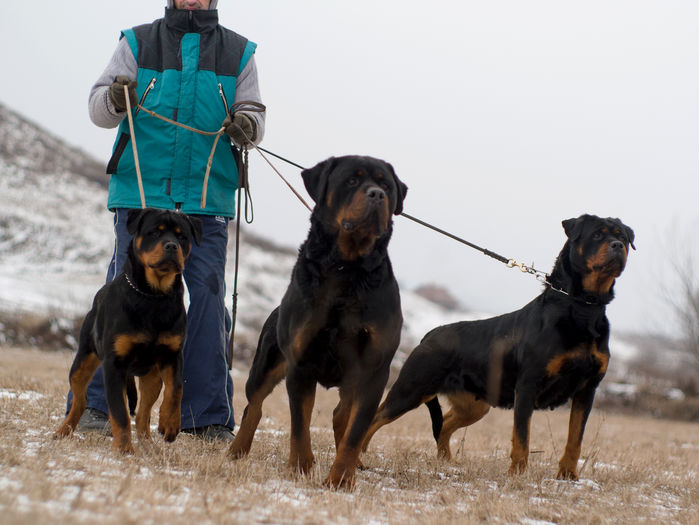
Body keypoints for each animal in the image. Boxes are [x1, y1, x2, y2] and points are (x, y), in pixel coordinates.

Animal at [55, 207, 200, 452]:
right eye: (154, 232)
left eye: (182, 237)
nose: (172, 246)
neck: (153, 296)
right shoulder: (114, 364)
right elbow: (120, 414)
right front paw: (124, 450)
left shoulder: (172, 355)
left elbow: (177, 389)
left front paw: (170, 424)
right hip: (84, 359)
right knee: (81, 398)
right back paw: (63, 431)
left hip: (152, 376)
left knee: (143, 413)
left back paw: (149, 444)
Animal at [230, 155, 408, 488]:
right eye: (352, 180)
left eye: (387, 185)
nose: (377, 194)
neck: (347, 269)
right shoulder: (301, 362)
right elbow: (300, 424)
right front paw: (300, 467)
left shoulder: (374, 368)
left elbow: (355, 431)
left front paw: (341, 479)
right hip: (265, 364)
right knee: (254, 405)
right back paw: (237, 449)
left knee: (342, 415)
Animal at [360, 213, 636, 478]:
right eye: (597, 234)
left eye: (623, 236)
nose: (618, 245)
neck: (583, 306)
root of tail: (430, 333)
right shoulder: (528, 384)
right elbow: (522, 438)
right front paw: (518, 475)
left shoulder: (587, 389)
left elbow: (574, 440)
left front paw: (568, 477)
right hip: (412, 388)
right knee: (375, 417)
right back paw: (359, 458)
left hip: (474, 403)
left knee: (445, 424)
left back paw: (448, 462)